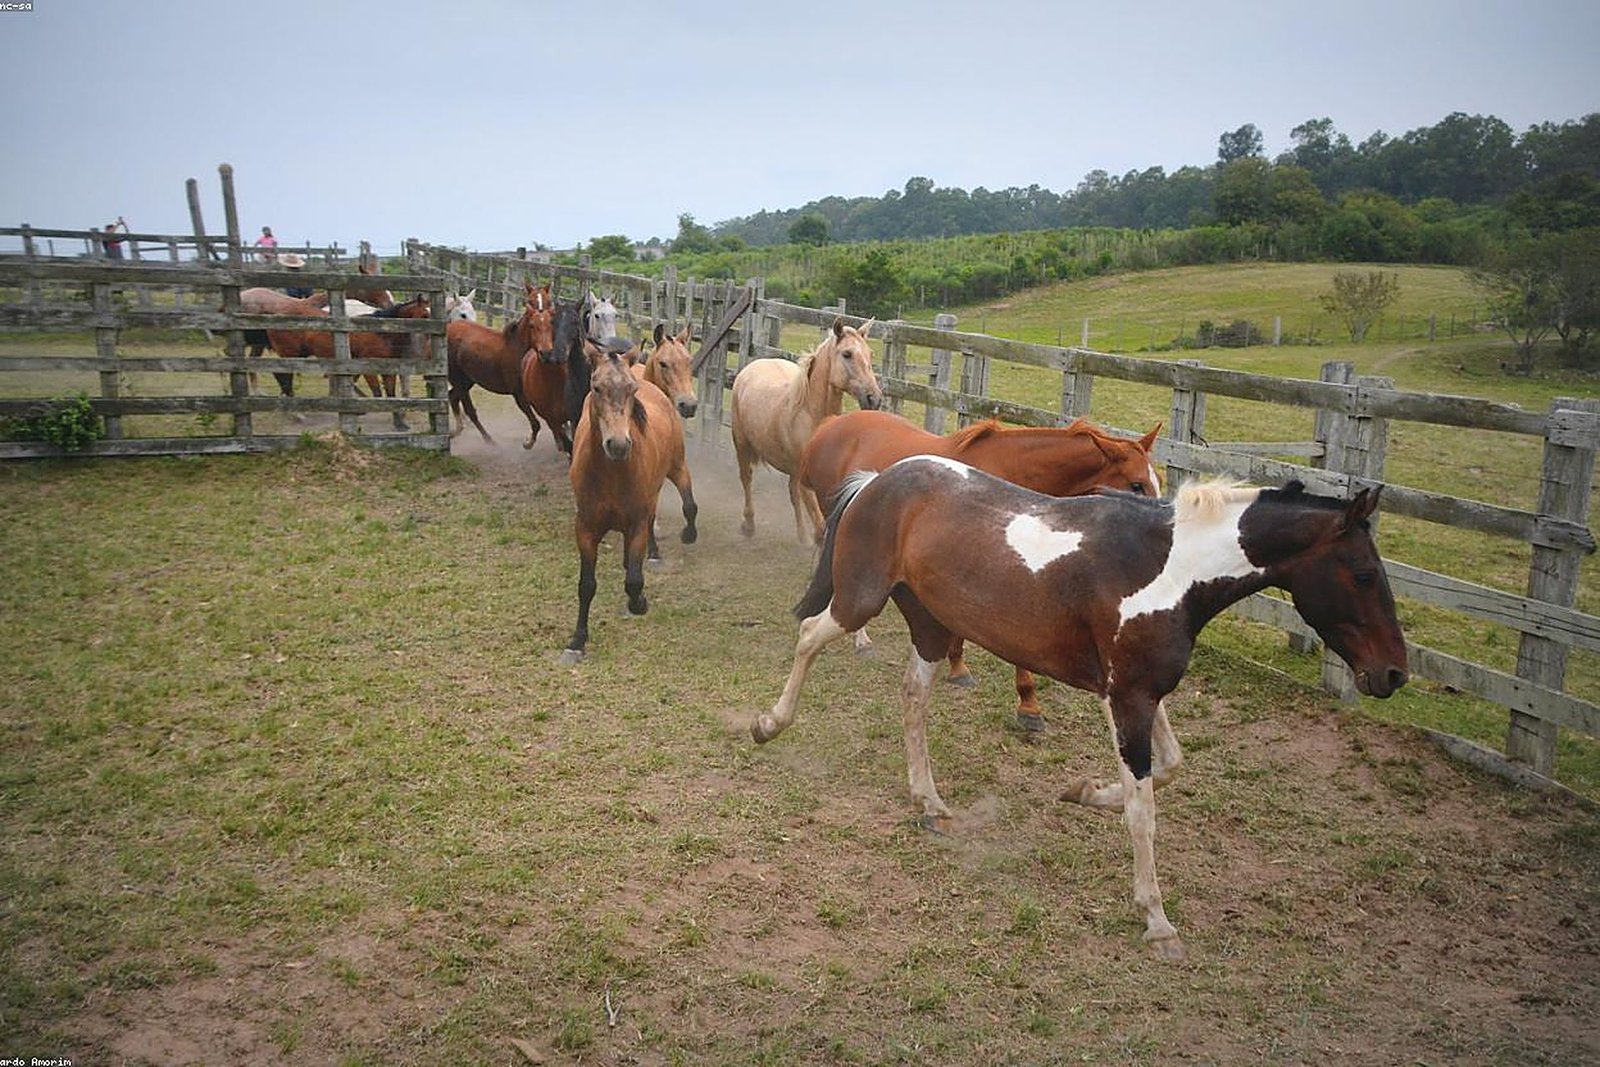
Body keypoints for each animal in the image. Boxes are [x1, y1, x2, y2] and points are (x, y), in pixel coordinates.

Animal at [446, 282, 557, 449]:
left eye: (548, 301)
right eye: (530, 301)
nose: (546, 352)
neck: (519, 349)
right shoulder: (519, 394)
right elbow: (536, 423)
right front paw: (528, 443)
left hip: (467, 380)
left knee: (453, 397)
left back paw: (456, 432)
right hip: (458, 380)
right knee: (469, 410)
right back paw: (489, 440)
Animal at [561, 340, 699, 665]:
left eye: (630, 389)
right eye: (596, 387)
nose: (619, 445)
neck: (611, 473)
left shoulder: (636, 522)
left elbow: (634, 581)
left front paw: (639, 602)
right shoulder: (585, 529)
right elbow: (586, 585)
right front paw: (577, 641)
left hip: (675, 468)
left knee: (683, 504)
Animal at [730, 317, 883, 544]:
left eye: (870, 354)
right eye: (847, 354)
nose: (874, 398)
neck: (813, 416)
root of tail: (753, 366)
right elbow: (820, 527)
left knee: (792, 494)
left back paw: (802, 537)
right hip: (741, 445)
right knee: (746, 478)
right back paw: (748, 525)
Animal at [753, 459, 1408, 960]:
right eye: (1363, 573)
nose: (1394, 674)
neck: (1171, 569)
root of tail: (877, 479)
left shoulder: (1138, 693)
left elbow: (1170, 767)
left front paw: (1084, 792)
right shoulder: (1128, 698)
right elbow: (1144, 811)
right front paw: (1157, 920)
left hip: (932, 627)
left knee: (912, 697)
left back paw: (931, 803)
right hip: (861, 599)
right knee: (810, 636)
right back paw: (767, 726)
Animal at [798, 410, 1165, 728]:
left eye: (1157, 480)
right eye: (1136, 485)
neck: (1014, 472)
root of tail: (829, 425)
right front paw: (1026, 704)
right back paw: (860, 638)